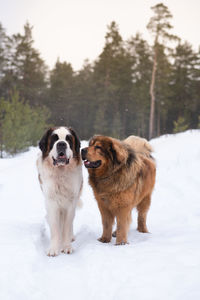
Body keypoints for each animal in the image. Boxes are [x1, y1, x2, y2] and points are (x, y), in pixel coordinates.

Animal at [36, 126, 82, 255]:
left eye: (68, 139)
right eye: (54, 139)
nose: (61, 144)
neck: (60, 173)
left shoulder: (71, 203)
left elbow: (66, 226)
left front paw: (66, 246)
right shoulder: (52, 203)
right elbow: (55, 227)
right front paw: (54, 248)